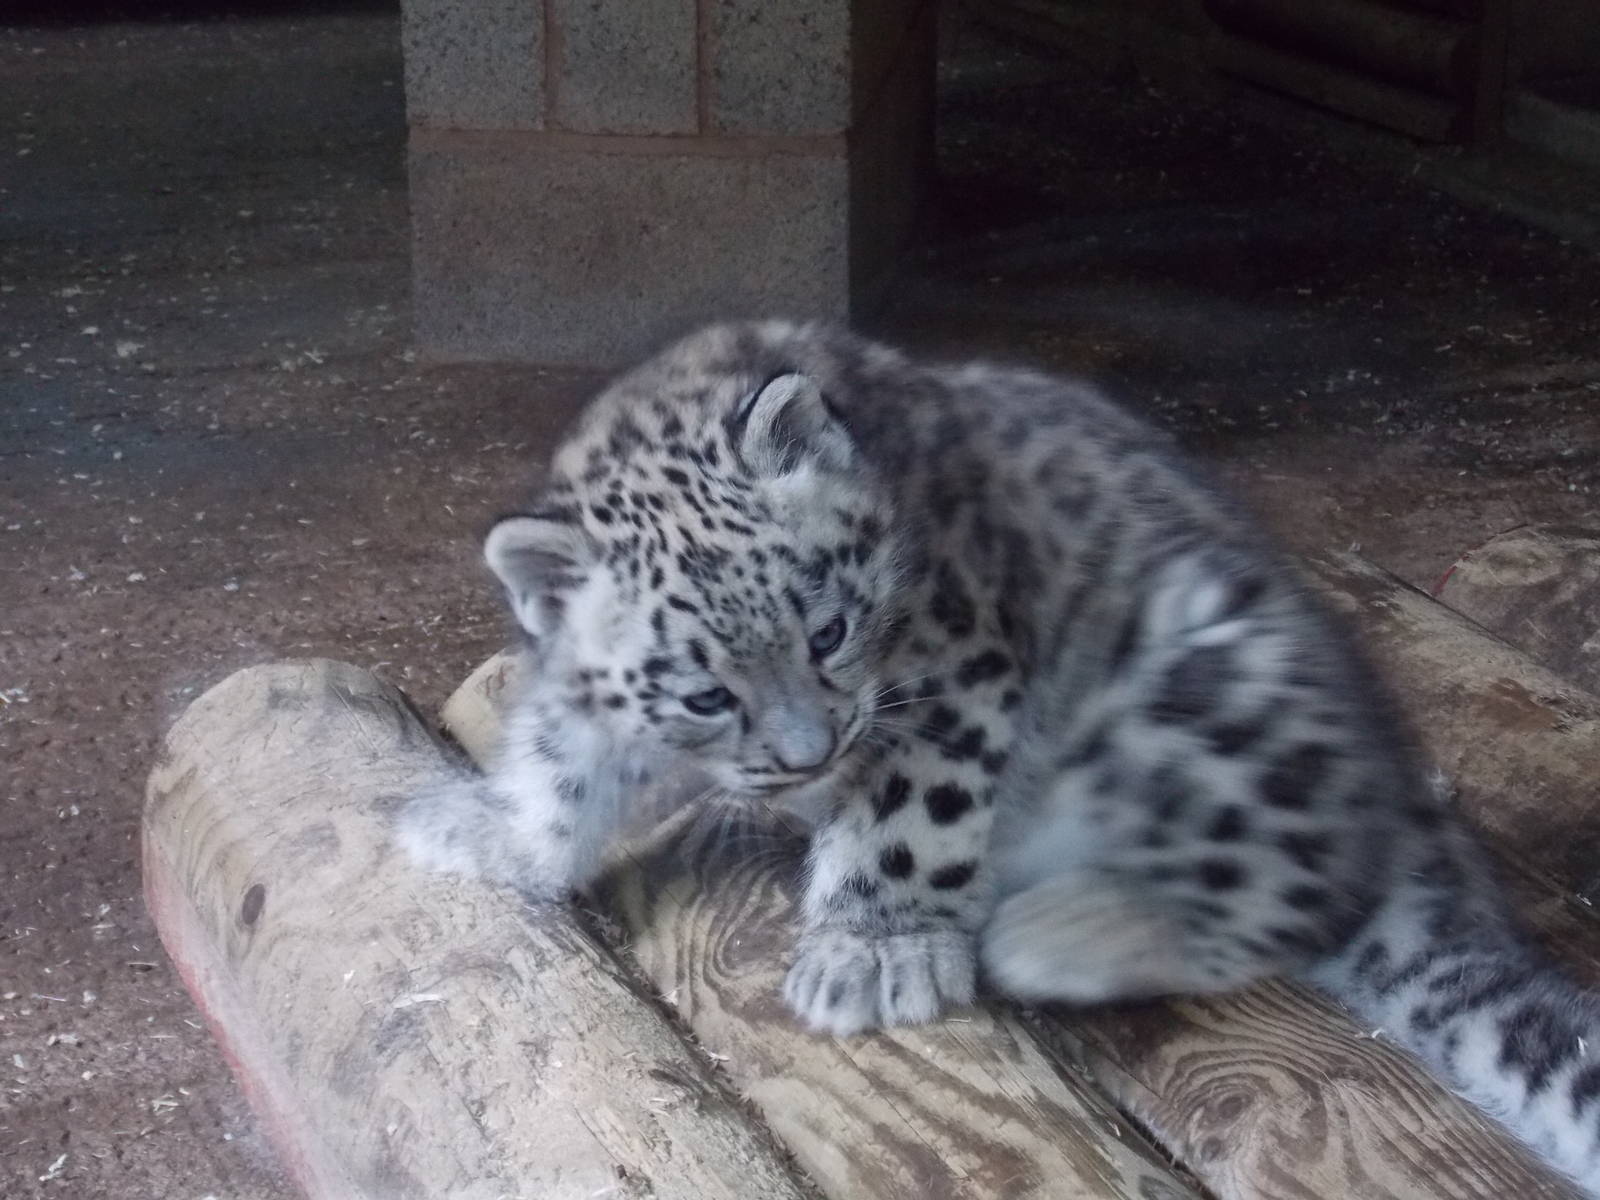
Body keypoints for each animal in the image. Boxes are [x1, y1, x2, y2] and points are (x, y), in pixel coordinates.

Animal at [400, 320, 1600, 1194]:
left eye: (828, 630)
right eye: (705, 693)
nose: (811, 753)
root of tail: (1403, 799)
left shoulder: (949, 670)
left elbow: (907, 813)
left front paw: (872, 951)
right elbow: (564, 760)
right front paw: (482, 827)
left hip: (1198, 686)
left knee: (1298, 879)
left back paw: (1056, 929)